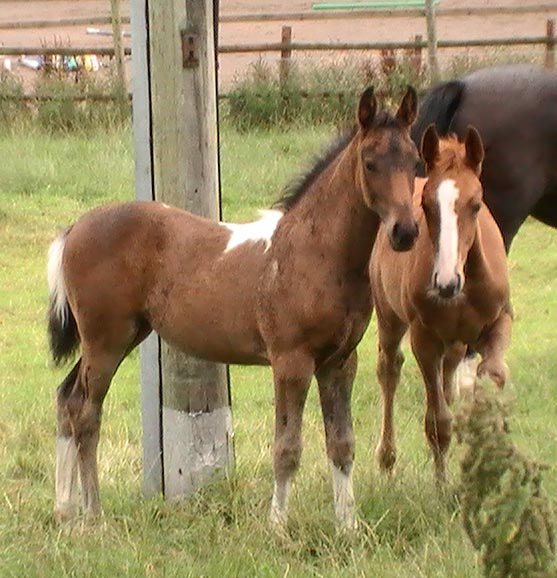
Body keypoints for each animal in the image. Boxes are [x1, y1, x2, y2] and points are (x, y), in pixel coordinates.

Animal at [47, 85, 420, 528]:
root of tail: (74, 230)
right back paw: (94, 515)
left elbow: (342, 444)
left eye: (415, 161)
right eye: (370, 162)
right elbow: (287, 448)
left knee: (67, 398)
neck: (315, 253)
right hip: (106, 341)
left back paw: (65, 510)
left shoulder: (340, 361)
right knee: (86, 413)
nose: (405, 232)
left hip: (118, 337)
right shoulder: (291, 362)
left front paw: (348, 526)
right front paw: (277, 527)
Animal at [370, 126, 512, 482]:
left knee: (449, 372)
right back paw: (387, 459)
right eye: (425, 204)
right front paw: (443, 485)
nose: (446, 282)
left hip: (456, 342)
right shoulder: (425, 339)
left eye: (476, 204)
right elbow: (438, 422)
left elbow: (493, 372)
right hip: (389, 318)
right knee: (389, 369)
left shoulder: (501, 319)